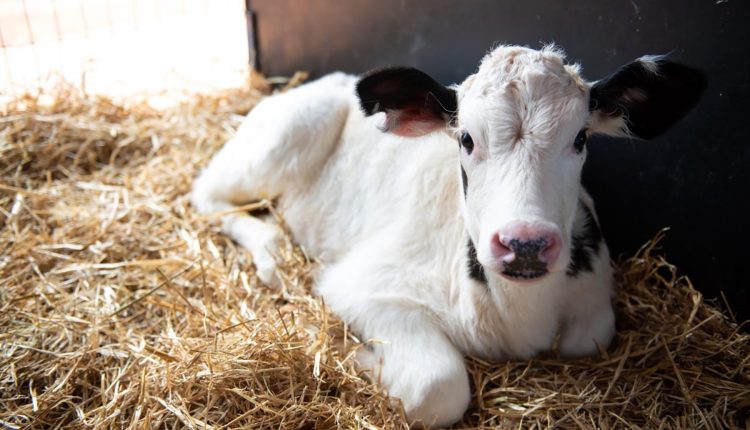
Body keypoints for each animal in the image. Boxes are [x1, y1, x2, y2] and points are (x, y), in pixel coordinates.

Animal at [191, 44, 708, 426]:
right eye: (466, 139)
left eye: (580, 139)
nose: (524, 243)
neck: (517, 318)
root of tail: (323, 80)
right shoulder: (361, 285)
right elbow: (437, 387)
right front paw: (354, 355)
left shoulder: (594, 294)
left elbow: (590, 335)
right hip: (285, 137)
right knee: (206, 195)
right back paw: (272, 252)